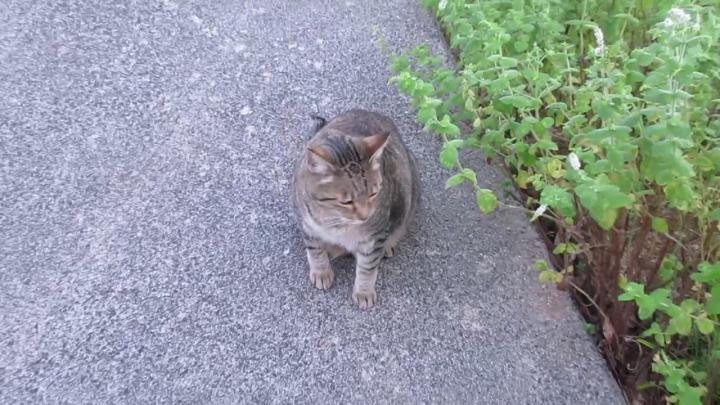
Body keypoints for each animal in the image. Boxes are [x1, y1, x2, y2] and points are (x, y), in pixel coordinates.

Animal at [290, 109, 420, 308]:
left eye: (373, 194)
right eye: (347, 202)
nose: (366, 215)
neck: (336, 222)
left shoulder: (373, 239)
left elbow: (367, 269)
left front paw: (363, 292)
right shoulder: (307, 225)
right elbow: (315, 251)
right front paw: (321, 271)